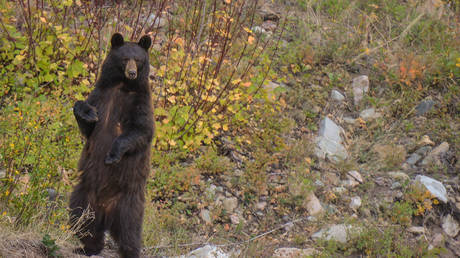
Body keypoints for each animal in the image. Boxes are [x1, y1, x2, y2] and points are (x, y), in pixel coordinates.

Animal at [70, 32, 155, 258]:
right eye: (125, 58)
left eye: (139, 60)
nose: (132, 72)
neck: (121, 86)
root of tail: (106, 212)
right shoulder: (101, 95)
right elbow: (88, 124)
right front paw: (86, 113)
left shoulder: (140, 102)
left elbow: (140, 131)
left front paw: (112, 154)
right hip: (83, 194)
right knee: (81, 220)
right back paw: (87, 247)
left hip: (128, 202)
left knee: (129, 231)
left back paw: (130, 252)